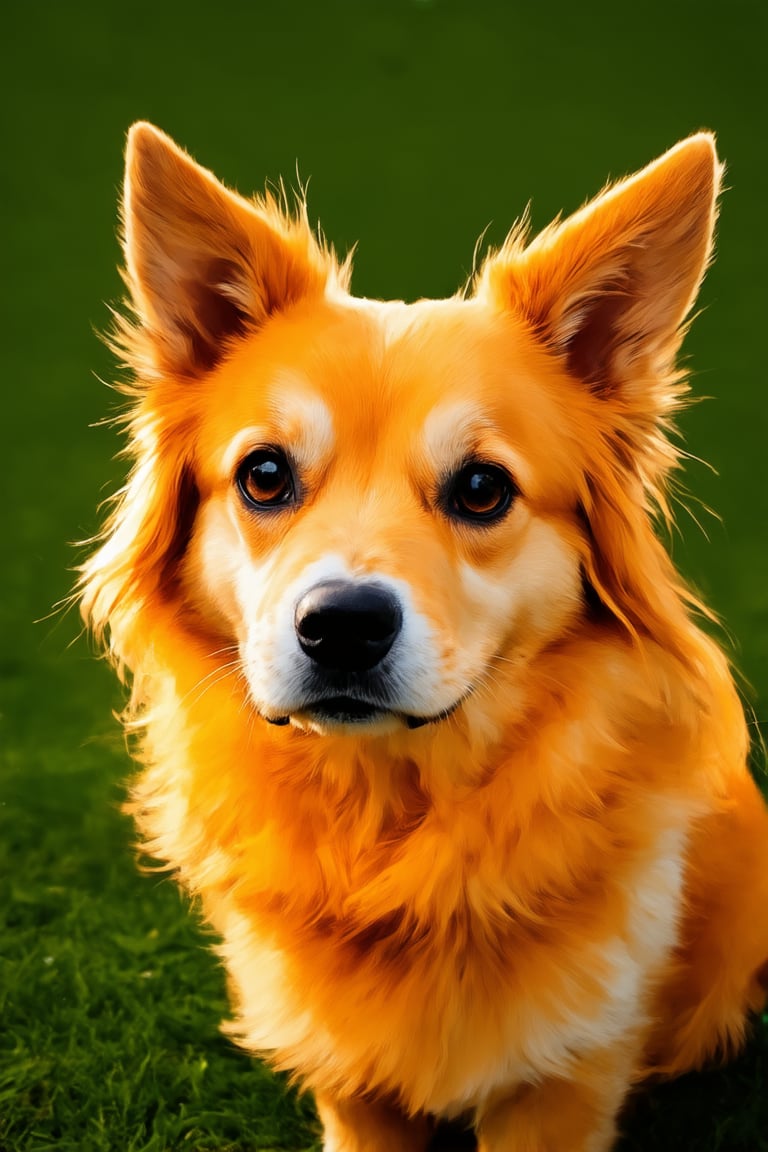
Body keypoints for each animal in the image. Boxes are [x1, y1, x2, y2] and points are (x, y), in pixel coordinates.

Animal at [82, 121, 768, 1147]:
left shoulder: (567, 1078)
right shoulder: (352, 1089)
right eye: (264, 475)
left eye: (481, 489)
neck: (393, 830)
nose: (341, 627)